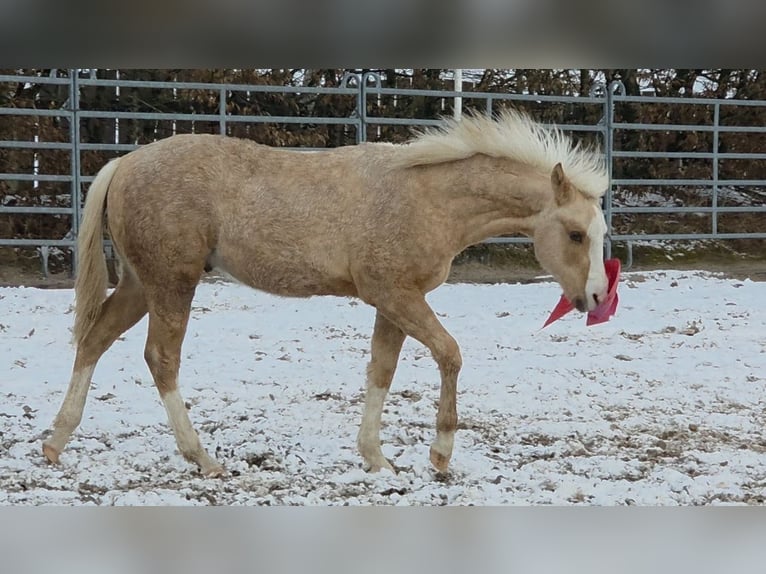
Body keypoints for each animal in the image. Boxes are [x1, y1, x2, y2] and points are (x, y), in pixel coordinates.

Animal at [42, 110, 609, 477]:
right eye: (575, 234)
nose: (599, 299)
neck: (428, 198)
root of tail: (124, 163)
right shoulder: (395, 294)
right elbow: (449, 353)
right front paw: (440, 455)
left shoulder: (392, 302)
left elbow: (382, 371)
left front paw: (377, 459)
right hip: (172, 283)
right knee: (161, 357)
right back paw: (202, 458)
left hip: (140, 284)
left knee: (93, 340)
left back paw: (55, 442)